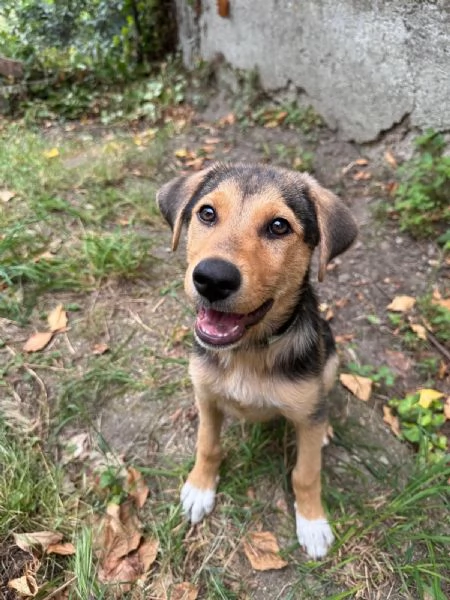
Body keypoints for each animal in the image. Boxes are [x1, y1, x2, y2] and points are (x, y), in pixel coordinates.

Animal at [156, 162, 356, 560]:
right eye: (207, 213)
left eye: (279, 226)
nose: (212, 278)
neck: (249, 352)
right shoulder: (206, 397)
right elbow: (207, 445)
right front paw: (200, 487)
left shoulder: (306, 411)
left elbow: (306, 474)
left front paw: (312, 522)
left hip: (330, 360)